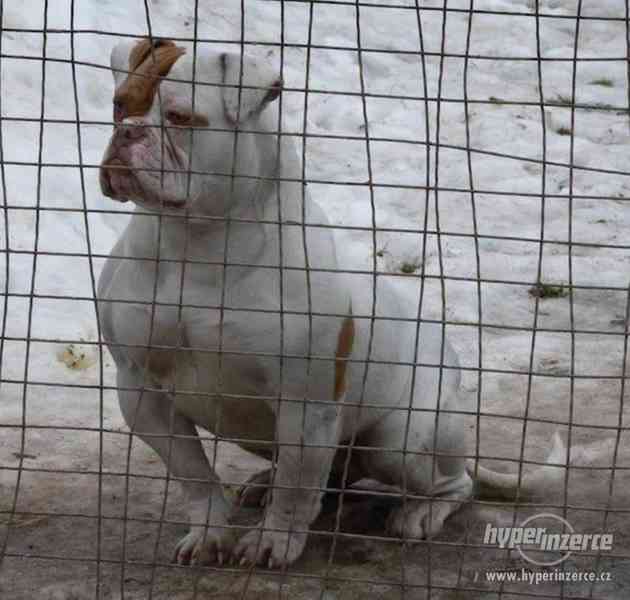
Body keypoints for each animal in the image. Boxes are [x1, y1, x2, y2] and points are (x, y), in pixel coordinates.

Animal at [99, 39, 568, 568]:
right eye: (119, 105)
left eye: (180, 117)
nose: (127, 133)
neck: (194, 242)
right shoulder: (141, 391)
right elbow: (194, 474)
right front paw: (209, 532)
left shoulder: (307, 402)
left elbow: (296, 488)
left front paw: (273, 540)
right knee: (325, 476)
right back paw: (265, 483)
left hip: (400, 440)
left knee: (452, 483)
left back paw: (419, 514)